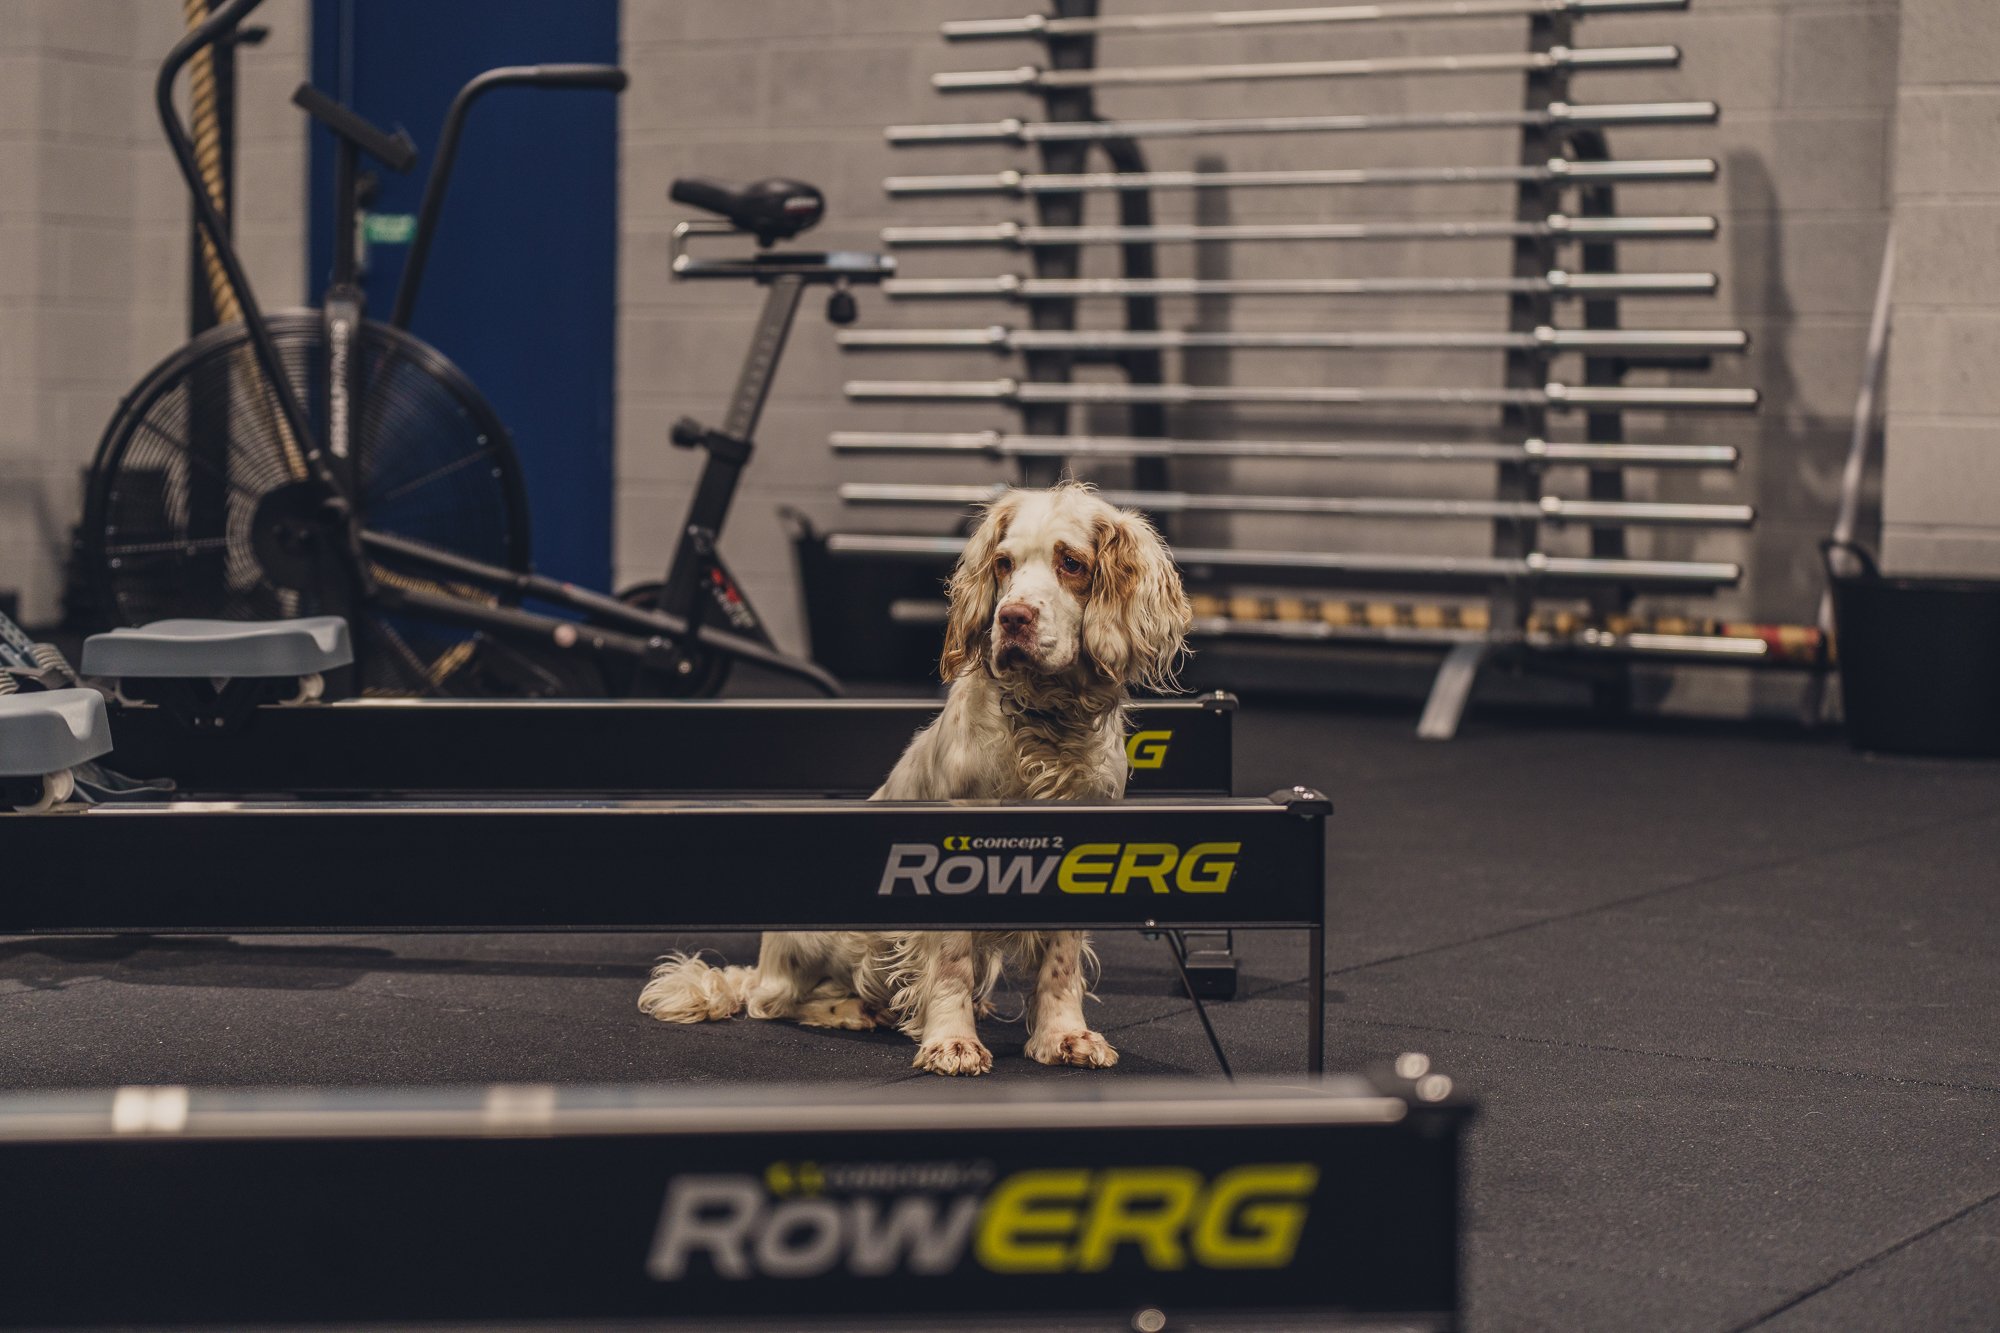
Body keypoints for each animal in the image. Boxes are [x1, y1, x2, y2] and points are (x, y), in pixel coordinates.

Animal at [638, 482, 1191, 1075]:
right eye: (1004, 563)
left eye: (1071, 563)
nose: (1012, 618)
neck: (1042, 726)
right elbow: (949, 965)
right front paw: (952, 1041)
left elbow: (1060, 964)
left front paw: (1064, 1036)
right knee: (775, 1001)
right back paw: (853, 1011)